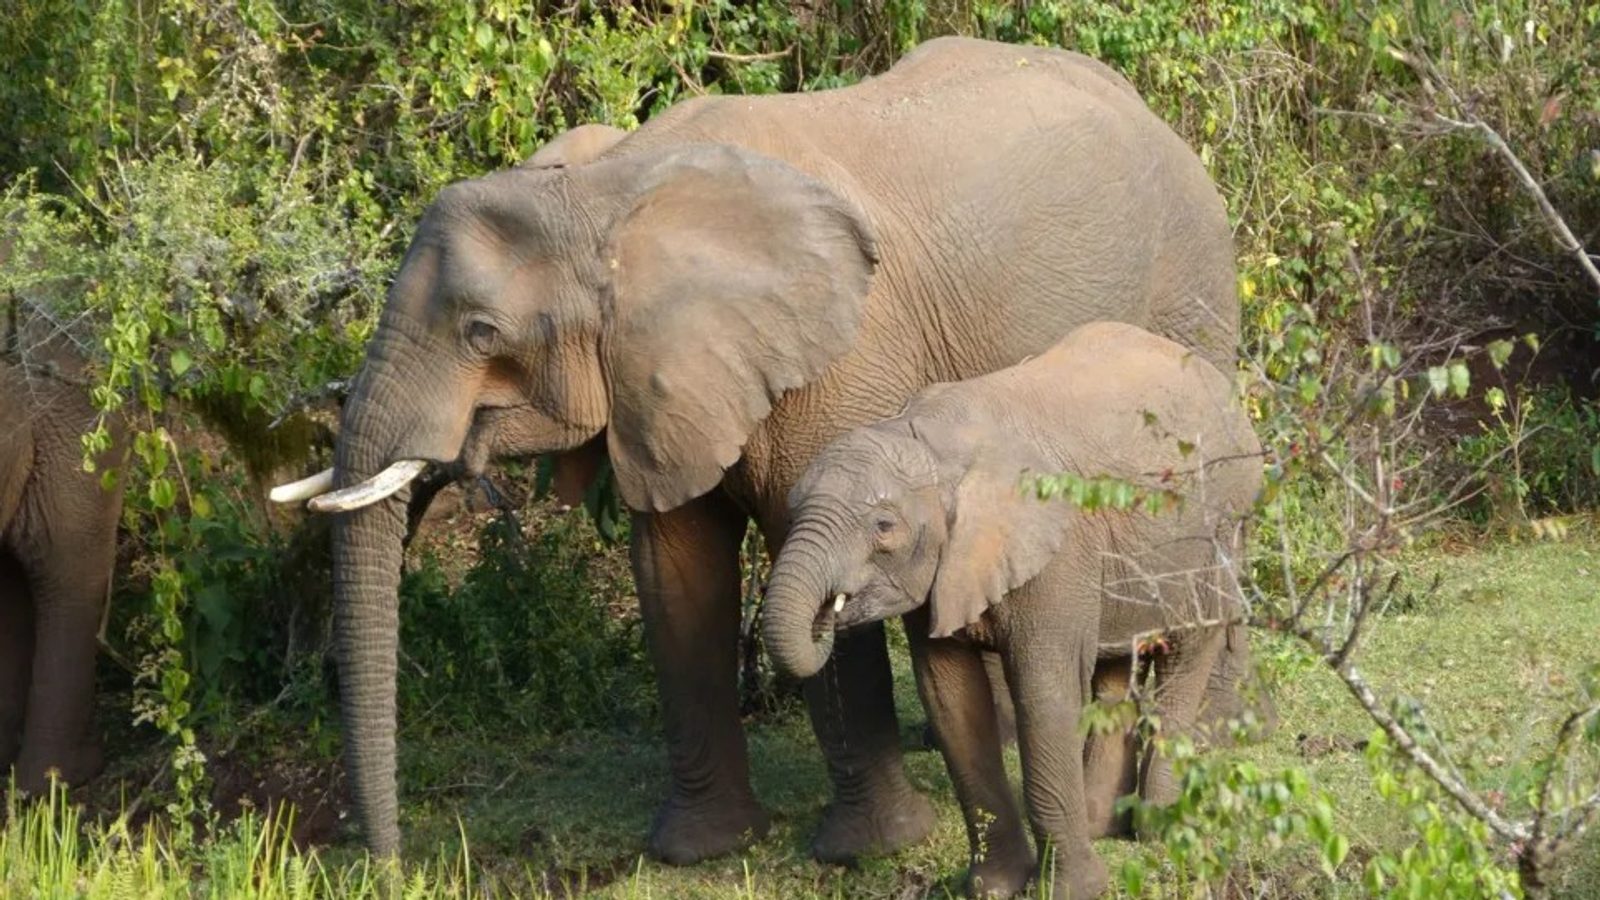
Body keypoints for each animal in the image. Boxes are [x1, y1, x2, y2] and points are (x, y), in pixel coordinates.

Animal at [762, 322, 1264, 899]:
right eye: (792, 510)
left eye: (883, 527)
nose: (827, 614)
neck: (931, 440)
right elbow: (951, 699)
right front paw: (993, 887)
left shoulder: (1057, 553)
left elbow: (1046, 694)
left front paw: (1073, 889)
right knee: (1116, 669)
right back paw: (1103, 825)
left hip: (1218, 527)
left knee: (1186, 655)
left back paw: (1158, 829)